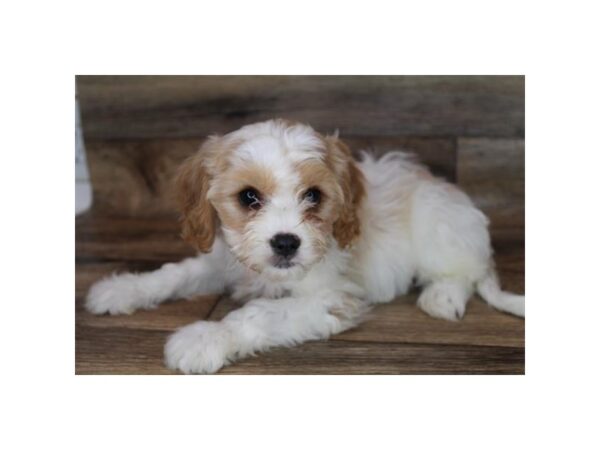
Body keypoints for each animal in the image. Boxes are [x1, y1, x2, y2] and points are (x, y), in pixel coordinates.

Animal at [85, 118, 524, 372]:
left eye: (313, 195)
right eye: (248, 197)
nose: (285, 242)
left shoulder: (330, 298)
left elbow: (260, 314)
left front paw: (204, 339)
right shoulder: (223, 258)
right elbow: (177, 274)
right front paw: (122, 288)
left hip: (438, 227)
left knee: (463, 273)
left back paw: (441, 297)